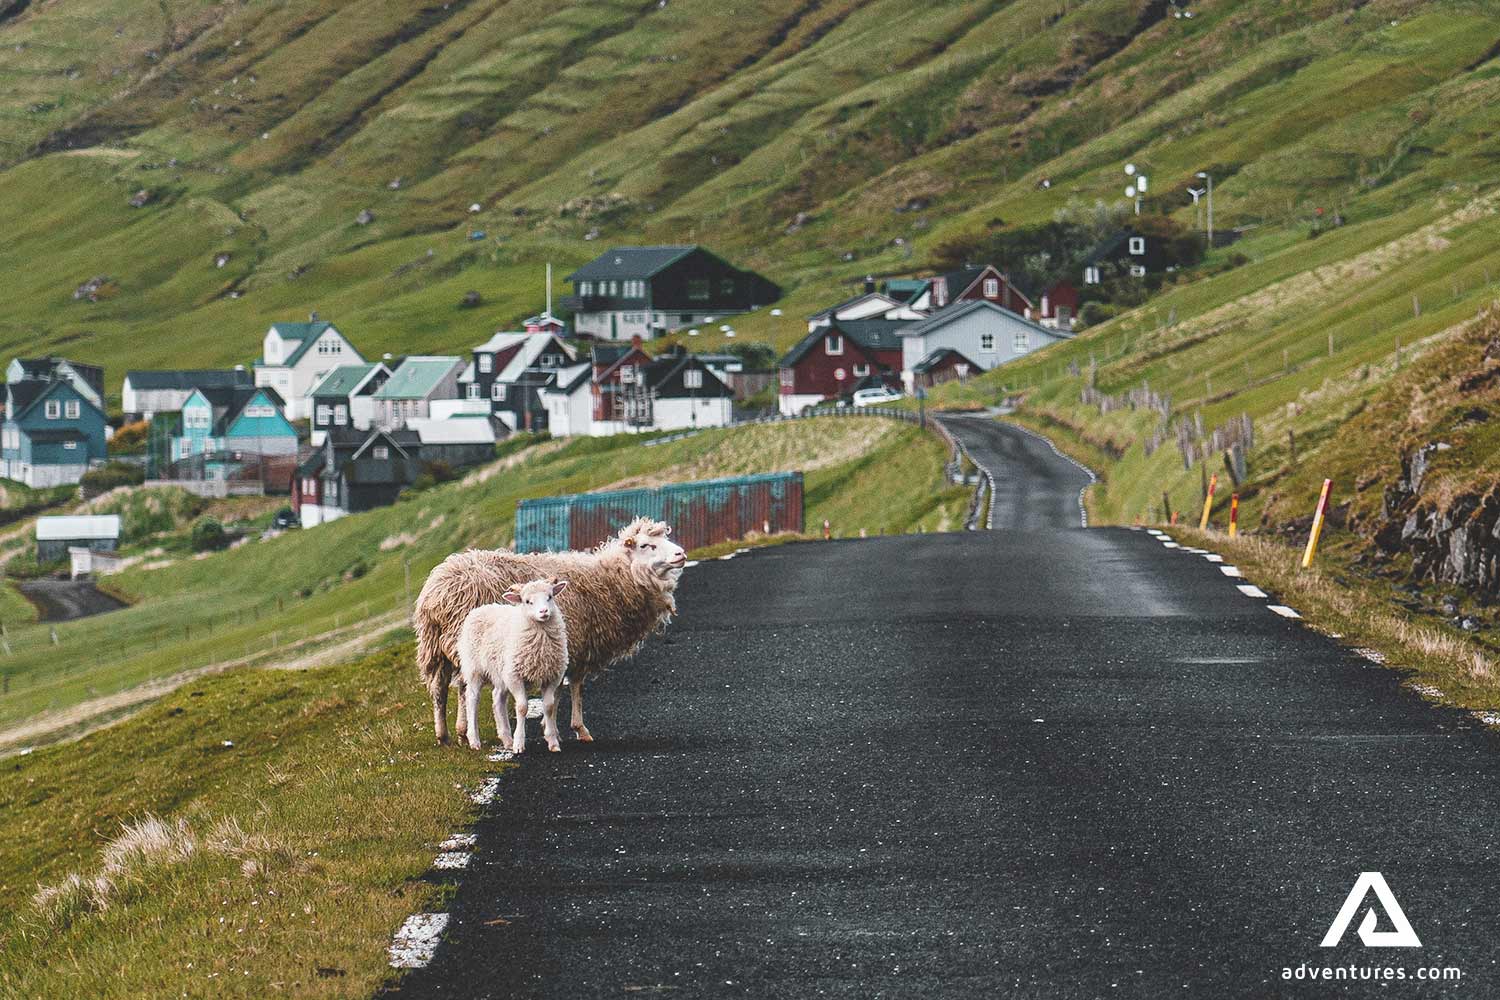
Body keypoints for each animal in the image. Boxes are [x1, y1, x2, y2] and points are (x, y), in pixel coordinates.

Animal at [457, 577, 569, 753]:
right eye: (527, 601)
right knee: (472, 698)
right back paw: (475, 740)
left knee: (498, 698)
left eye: (550, 597)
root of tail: (481, 608)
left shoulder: (552, 677)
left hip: (501, 672)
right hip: (474, 669)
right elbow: (522, 707)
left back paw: (506, 738)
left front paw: (553, 742)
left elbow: (549, 706)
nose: (544, 611)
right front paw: (519, 744)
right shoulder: (515, 676)